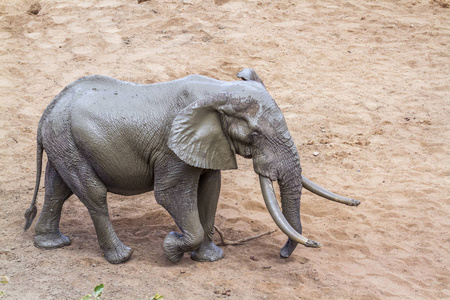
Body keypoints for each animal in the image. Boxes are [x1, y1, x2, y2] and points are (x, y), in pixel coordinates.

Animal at [25, 67, 362, 262]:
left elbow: (211, 189)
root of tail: (48, 110)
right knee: (92, 192)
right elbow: (171, 194)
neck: (219, 91)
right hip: (66, 140)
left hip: (64, 141)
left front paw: (210, 258)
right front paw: (172, 249)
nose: (282, 254)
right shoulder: (172, 148)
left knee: (59, 188)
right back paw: (122, 256)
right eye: (254, 136)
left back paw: (51, 243)